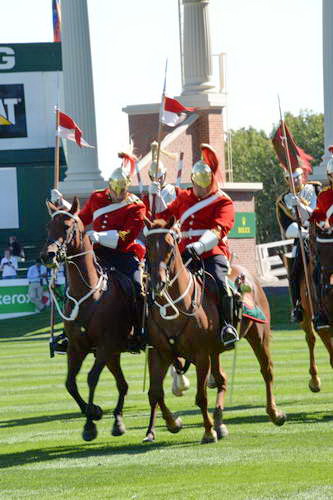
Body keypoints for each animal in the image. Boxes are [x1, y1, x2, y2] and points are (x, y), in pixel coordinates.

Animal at [40, 197, 136, 440]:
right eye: (48, 226)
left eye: (66, 226)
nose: (47, 256)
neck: (90, 292)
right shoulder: (77, 347)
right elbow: (70, 383)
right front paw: (93, 411)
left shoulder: (104, 345)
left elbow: (91, 378)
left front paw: (89, 425)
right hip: (114, 354)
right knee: (123, 385)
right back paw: (118, 420)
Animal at [143, 217, 286, 444]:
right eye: (148, 246)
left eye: (170, 246)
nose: (158, 282)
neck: (175, 306)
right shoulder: (159, 353)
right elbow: (155, 393)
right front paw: (174, 423)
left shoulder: (201, 355)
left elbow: (201, 396)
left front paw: (208, 431)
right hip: (215, 351)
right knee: (222, 378)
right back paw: (220, 422)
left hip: (258, 336)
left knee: (267, 371)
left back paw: (274, 413)